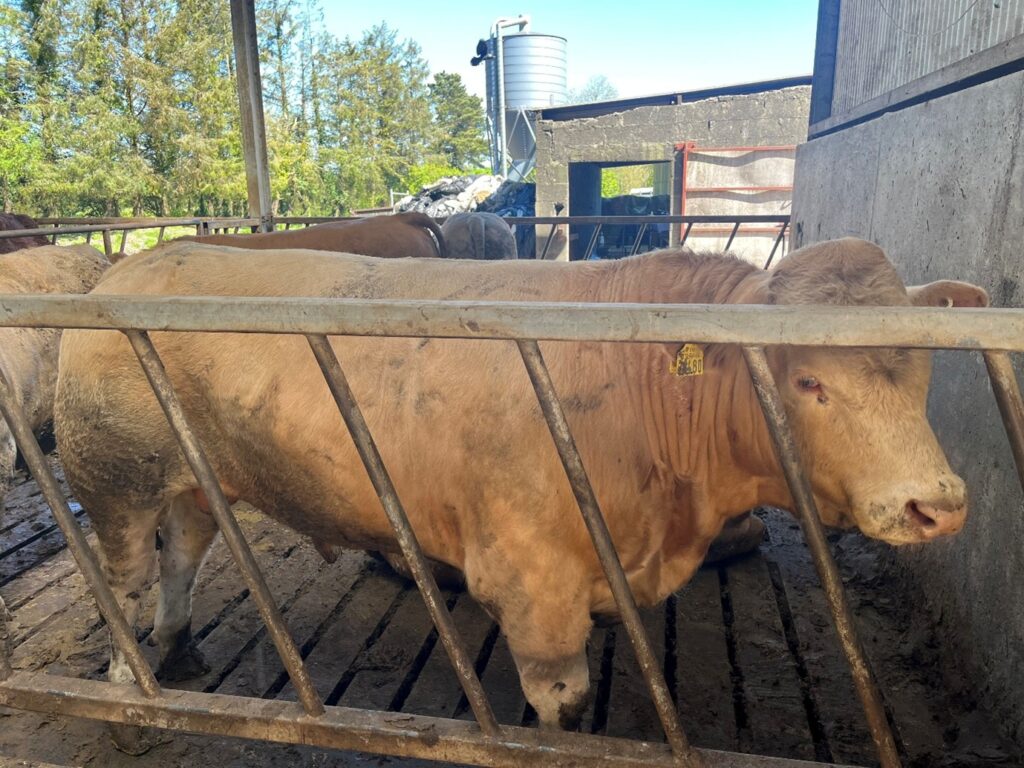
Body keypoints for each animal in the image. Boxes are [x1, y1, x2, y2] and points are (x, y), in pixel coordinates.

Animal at [54, 237, 985, 729]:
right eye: (807, 381)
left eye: (922, 371)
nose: (933, 504)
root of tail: (142, 262)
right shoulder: (531, 582)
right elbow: (562, 704)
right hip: (115, 477)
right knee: (128, 576)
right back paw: (132, 679)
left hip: (194, 482)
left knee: (183, 555)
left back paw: (179, 647)